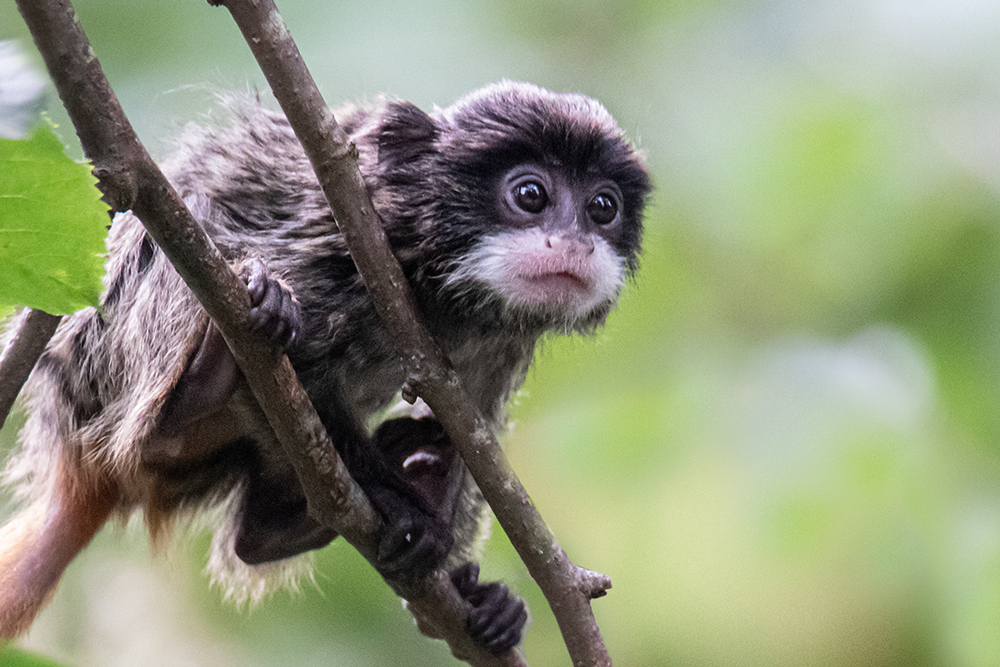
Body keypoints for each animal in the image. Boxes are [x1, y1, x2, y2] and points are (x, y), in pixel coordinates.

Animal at [0, 82, 648, 652]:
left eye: (602, 208)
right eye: (531, 195)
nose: (577, 244)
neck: (440, 291)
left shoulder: (501, 349)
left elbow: (474, 438)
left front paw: (476, 598)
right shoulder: (339, 243)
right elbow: (299, 368)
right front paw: (397, 506)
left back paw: (280, 527)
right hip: (100, 365)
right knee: (195, 230)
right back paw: (200, 386)